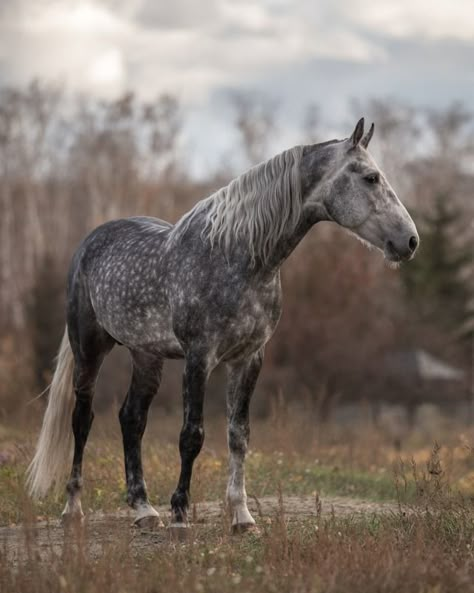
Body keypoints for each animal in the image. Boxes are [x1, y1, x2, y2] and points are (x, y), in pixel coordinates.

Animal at [26, 119, 418, 532]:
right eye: (370, 177)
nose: (409, 241)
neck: (239, 258)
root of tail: (90, 241)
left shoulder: (248, 359)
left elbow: (238, 435)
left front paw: (242, 517)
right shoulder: (199, 357)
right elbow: (191, 435)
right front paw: (180, 514)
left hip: (146, 356)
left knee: (131, 418)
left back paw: (144, 510)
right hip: (89, 350)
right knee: (82, 420)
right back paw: (73, 509)